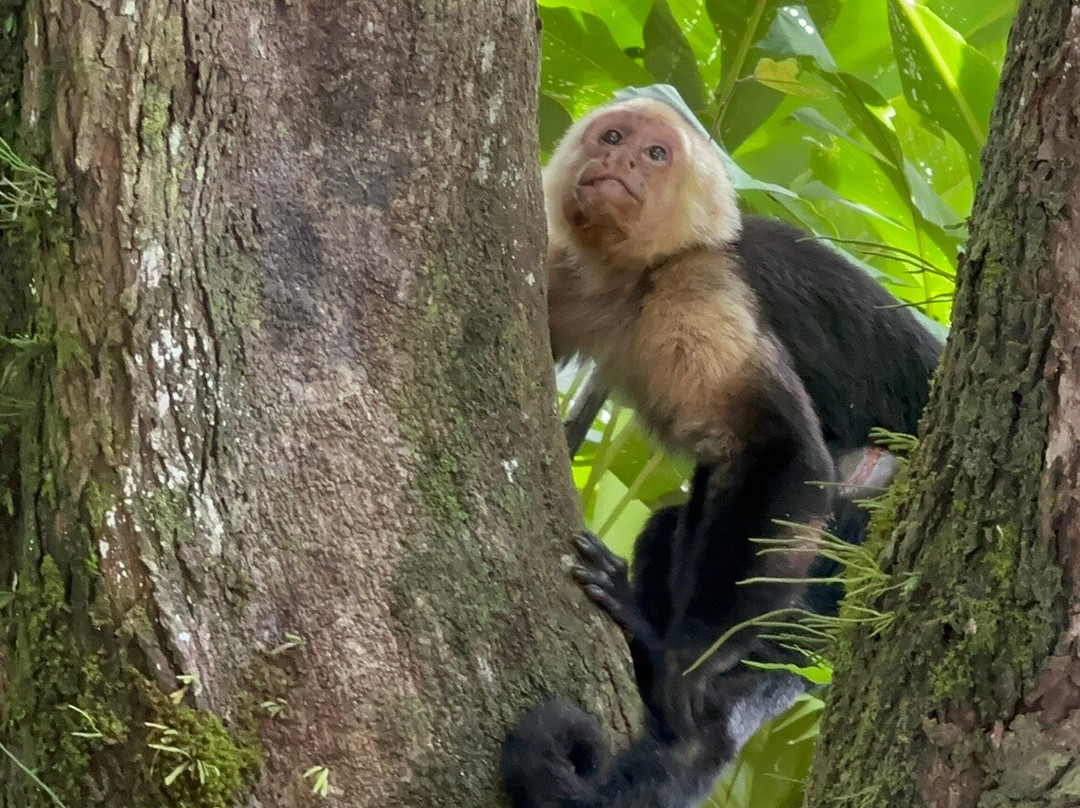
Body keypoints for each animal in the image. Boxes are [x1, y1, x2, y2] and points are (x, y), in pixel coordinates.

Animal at [500, 93, 941, 808]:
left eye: (656, 154)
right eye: (613, 137)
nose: (621, 160)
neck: (631, 280)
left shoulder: (702, 288)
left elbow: (782, 447)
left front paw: (693, 656)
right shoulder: (565, 276)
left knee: (858, 481)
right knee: (676, 522)